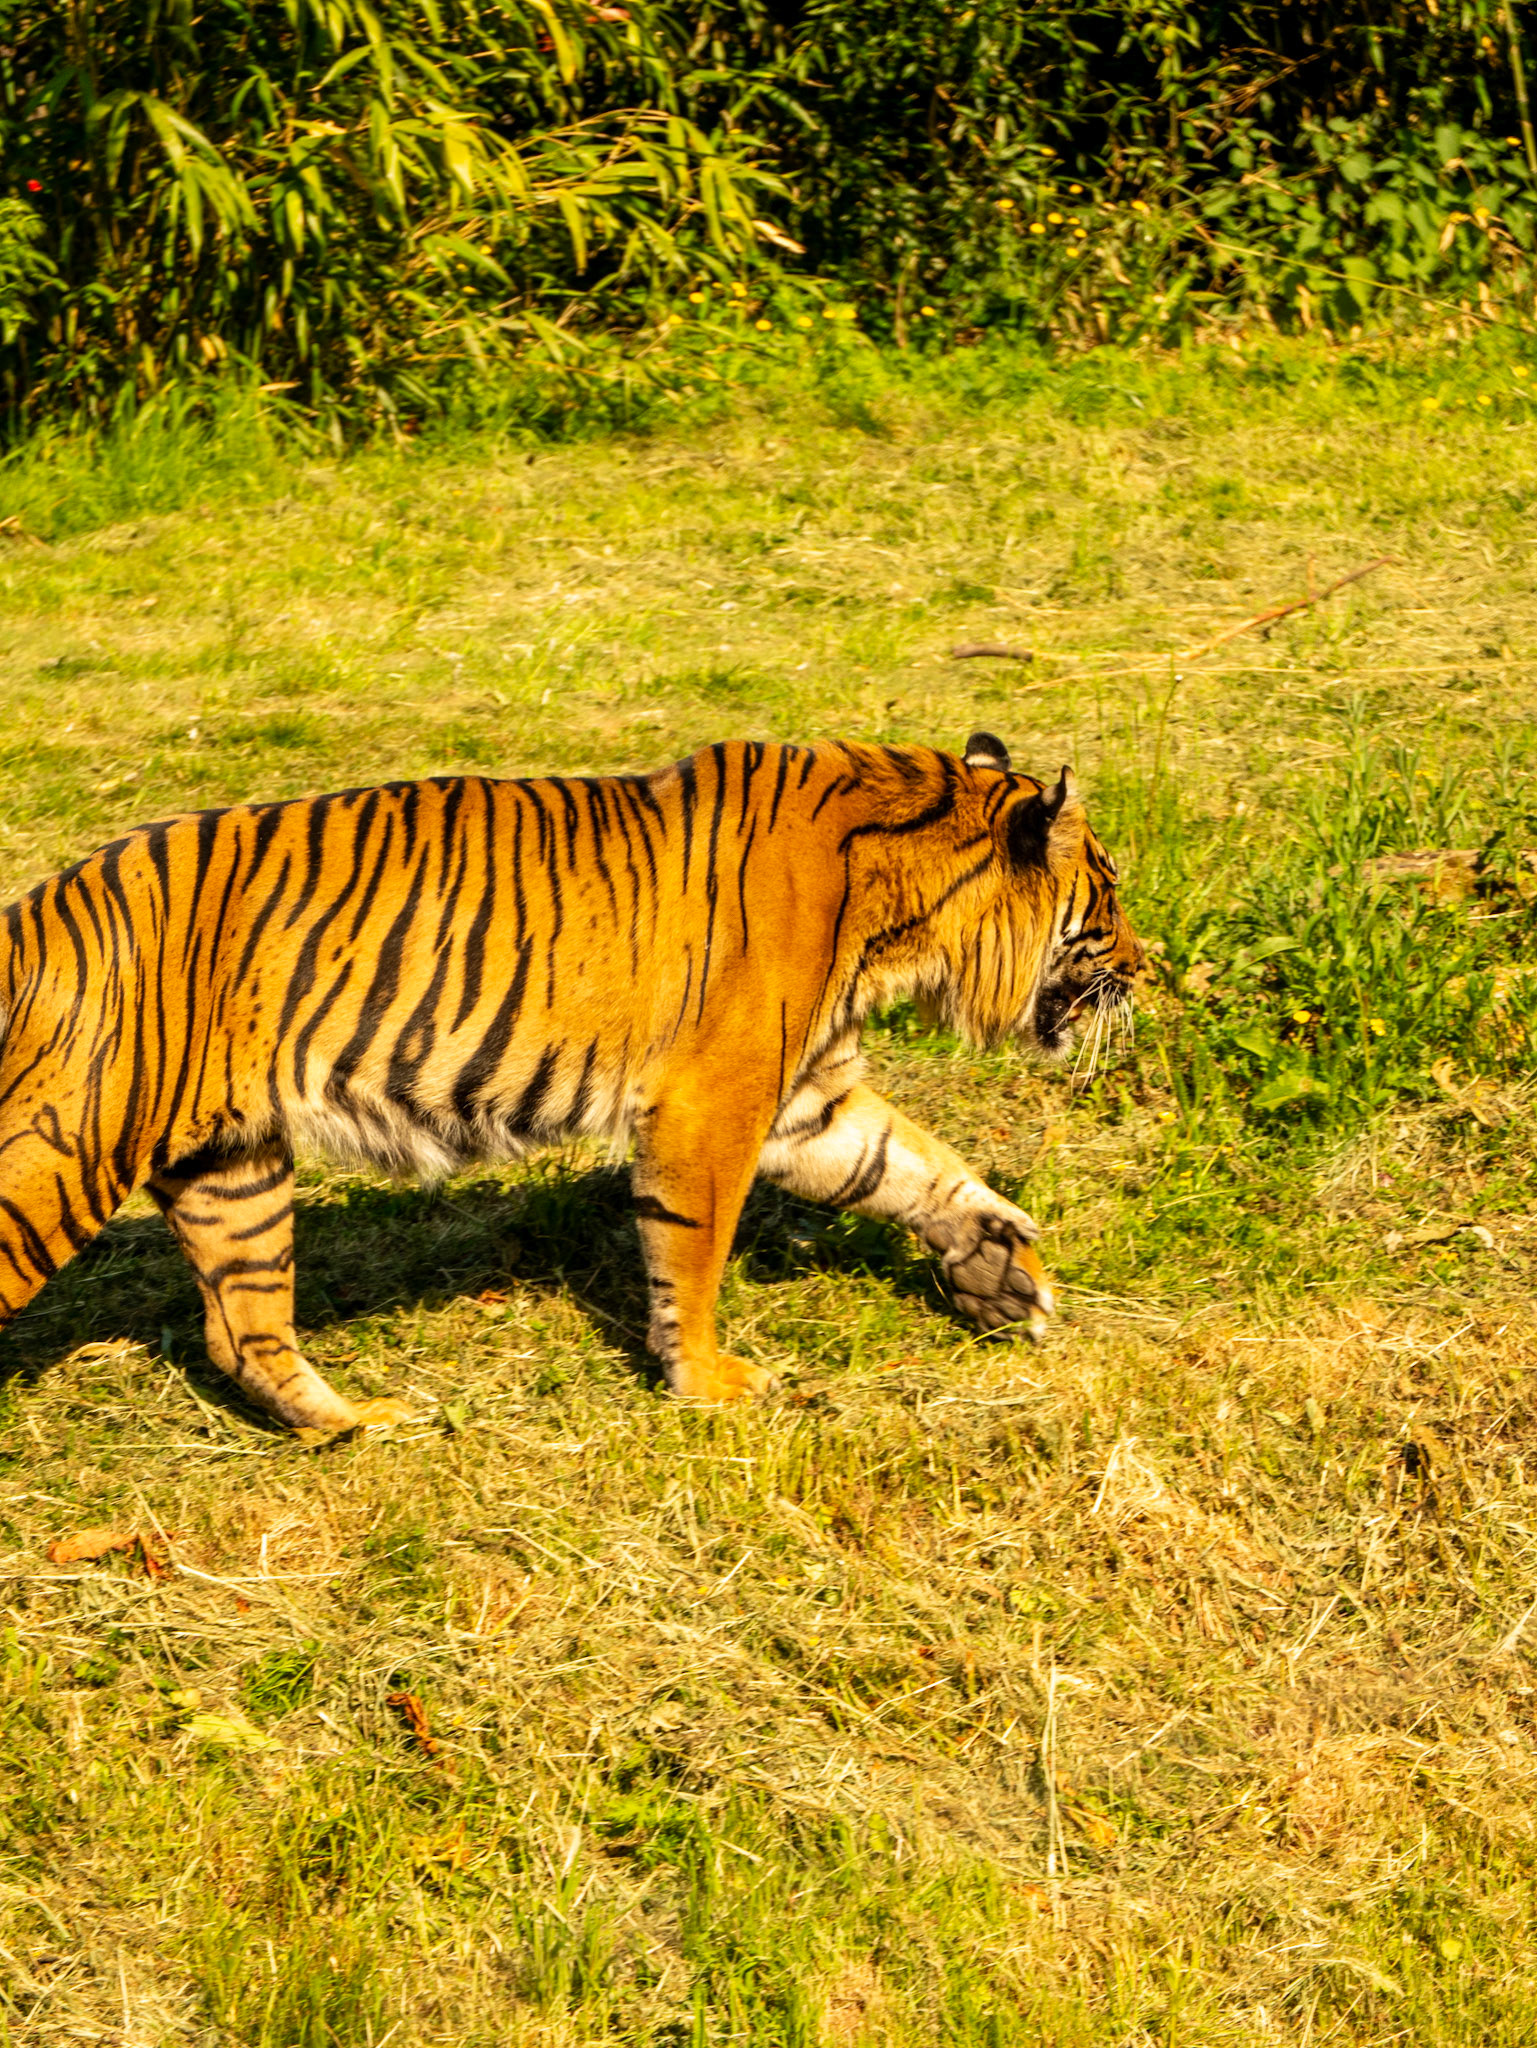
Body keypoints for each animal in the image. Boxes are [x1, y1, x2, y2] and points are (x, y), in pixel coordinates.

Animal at [0, 730, 1142, 1437]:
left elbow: (906, 1163)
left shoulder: (806, 1097)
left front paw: (1000, 1264)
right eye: (1109, 899)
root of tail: (38, 909)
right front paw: (709, 1384)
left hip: (231, 1168)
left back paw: (362, 1424)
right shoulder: (715, 1100)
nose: (1149, 968)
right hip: (59, 1156)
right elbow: (693, 1252)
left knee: (243, 1329)